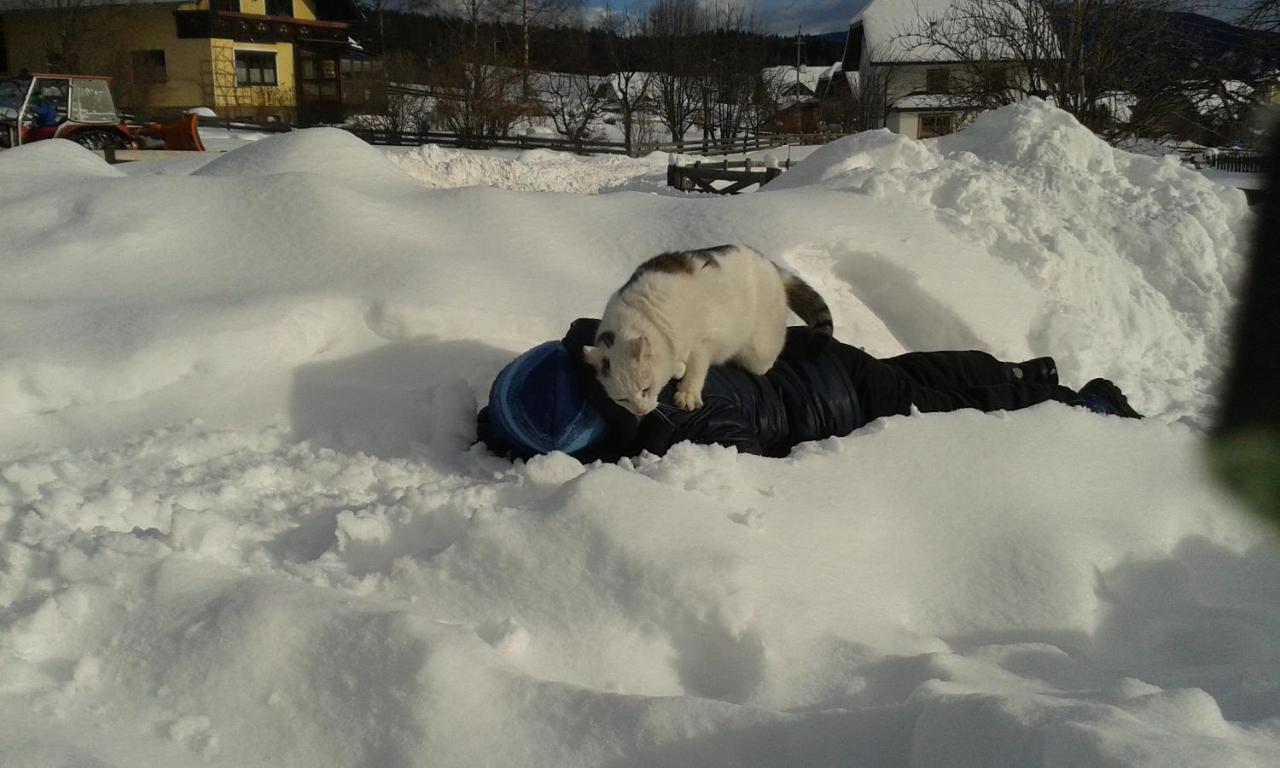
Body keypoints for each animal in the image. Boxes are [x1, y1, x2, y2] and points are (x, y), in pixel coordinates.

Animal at [583, 244, 839, 414]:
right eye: (622, 399)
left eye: (645, 389)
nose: (641, 411)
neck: (646, 314)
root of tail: (771, 265)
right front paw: (678, 368)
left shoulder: (703, 341)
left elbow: (697, 368)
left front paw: (687, 392)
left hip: (759, 349)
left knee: (763, 362)